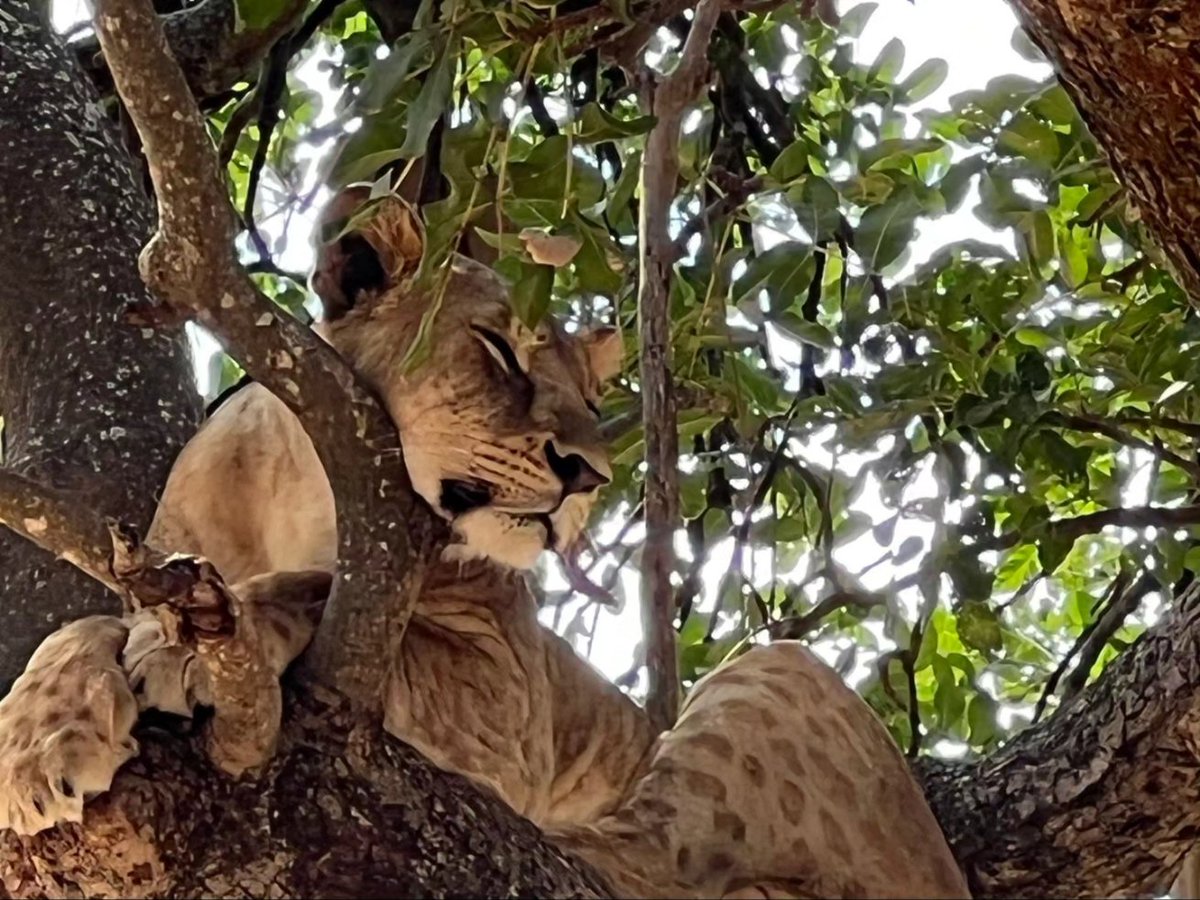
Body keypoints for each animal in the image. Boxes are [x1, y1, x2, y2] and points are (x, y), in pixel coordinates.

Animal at [0, 189, 969, 899]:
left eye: (591, 396)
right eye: (500, 352)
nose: (589, 474)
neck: (308, 496)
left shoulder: (500, 701)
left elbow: (305, 588)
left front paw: (183, 651)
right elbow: (77, 628)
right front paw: (37, 744)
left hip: (782, 673)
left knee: (645, 865)